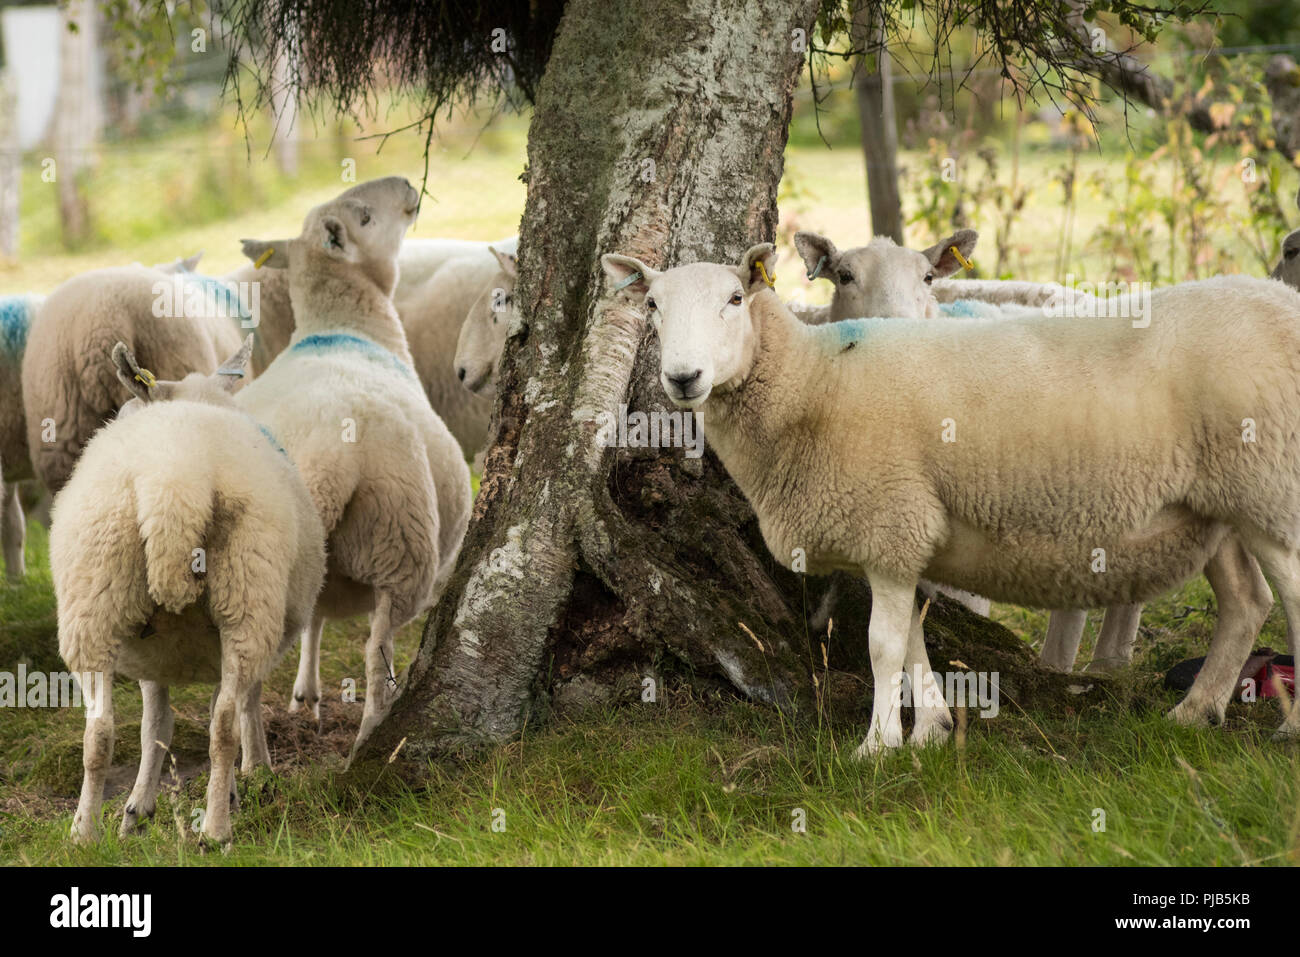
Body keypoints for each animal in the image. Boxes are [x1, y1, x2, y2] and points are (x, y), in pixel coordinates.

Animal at [55, 335, 327, 842]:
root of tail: (175, 480)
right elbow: (212, 712)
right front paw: (249, 779)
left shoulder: (155, 656)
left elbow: (155, 727)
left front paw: (137, 808)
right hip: (247, 600)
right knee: (224, 726)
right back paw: (217, 828)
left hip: (94, 606)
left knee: (98, 732)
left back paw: (84, 833)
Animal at [237, 175, 473, 759]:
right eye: (365, 215)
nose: (409, 184)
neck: (344, 325)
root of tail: (333, 459)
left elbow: (316, 619)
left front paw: (305, 693)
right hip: (404, 551)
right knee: (376, 653)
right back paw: (364, 744)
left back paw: (252, 763)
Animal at [605, 247, 1300, 754]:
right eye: (652, 305)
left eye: (734, 299)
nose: (683, 378)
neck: (814, 383)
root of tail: (1283, 298)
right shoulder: (904, 534)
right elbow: (913, 638)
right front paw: (932, 732)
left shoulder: (888, 524)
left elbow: (882, 645)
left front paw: (877, 747)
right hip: (1217, 508)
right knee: (1247, 602)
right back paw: (1195, 711)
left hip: (1267, 482)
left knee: (1288, 592)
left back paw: (1286, 729)